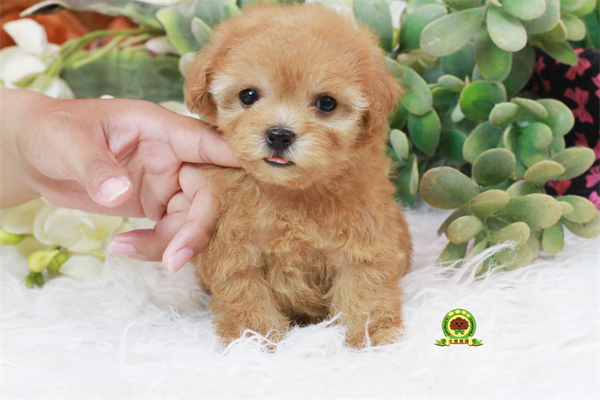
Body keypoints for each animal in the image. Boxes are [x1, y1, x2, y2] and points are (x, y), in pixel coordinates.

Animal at [183, 3, 412, 347]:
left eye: (327, 103)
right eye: (248, 95)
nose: (279, 135)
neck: (291, 192)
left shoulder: (364, 238)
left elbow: (365, 287)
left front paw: (374, 335)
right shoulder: (235, 247)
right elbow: (245, 293)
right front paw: (253, 339)